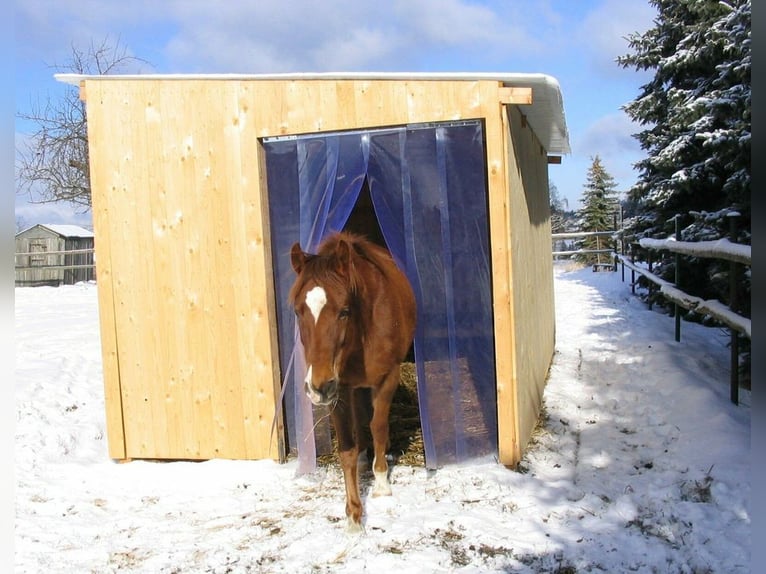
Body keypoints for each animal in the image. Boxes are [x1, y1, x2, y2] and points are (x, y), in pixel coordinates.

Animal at [289, 231, 417, 533]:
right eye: (299, 312)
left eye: (344, 311)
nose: (318, 387)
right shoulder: (340, 390)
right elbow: (346, 449)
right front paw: (354, 515)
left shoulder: (388, 377)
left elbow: (379, 426)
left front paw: (381, 483)